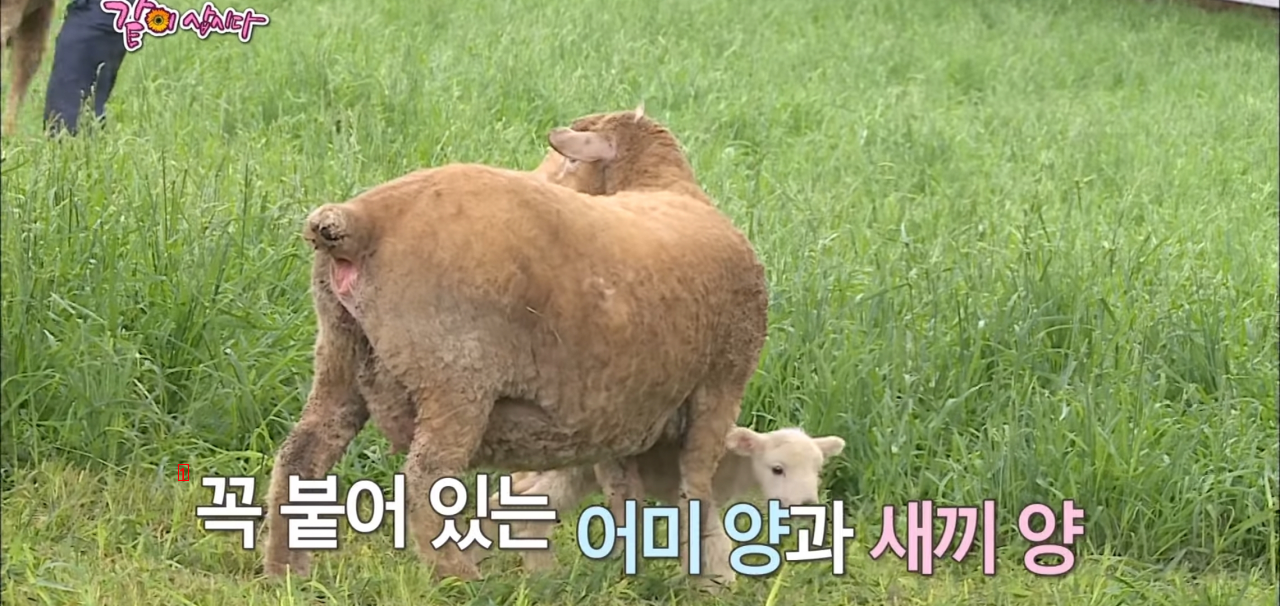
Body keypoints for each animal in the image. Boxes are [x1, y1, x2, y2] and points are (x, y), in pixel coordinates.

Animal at [266, 106, 768, 589]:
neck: (664, 185)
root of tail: (360, 220)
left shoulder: (622, 409)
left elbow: (623, 490)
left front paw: (630, 570)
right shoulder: (721, 384)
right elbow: (695, 487)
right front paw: (707, 578)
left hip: (340, 352)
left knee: (302, 454)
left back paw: (287, 570)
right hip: (454, 374)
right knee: (425, 478)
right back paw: (459, 578)